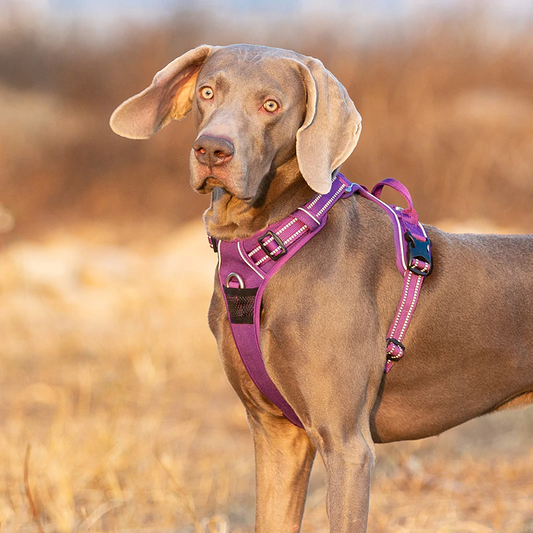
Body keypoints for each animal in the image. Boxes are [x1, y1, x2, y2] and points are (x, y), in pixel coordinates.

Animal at [109, 44, 532, 532]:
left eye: (271, 105)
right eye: (207, 92)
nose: (212, 148)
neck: (272, 243)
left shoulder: (346, 444)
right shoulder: (278, 434)